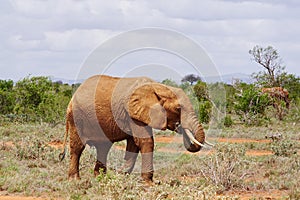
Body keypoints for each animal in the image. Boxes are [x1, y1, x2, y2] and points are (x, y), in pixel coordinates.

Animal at [59, 74, 212, 181]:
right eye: (178, 108)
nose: (178, 125)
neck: (157, 87)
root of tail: (72, 97)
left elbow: (134, 144)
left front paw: (122, 176)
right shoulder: (133, 113)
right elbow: (145, 142)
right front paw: (149, 183)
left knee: (103, 147)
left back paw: (100, 177)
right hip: (77, 117)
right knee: (77, 147)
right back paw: (75, 180)